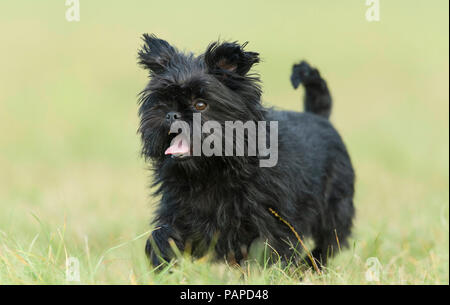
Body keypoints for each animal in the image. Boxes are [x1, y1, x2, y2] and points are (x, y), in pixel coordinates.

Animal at [137, 33, 356, 268]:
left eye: (200, 105)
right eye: (163, 101)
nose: (171, 114)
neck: (213, 170)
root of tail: (318, 116)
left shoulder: (271, 219)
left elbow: (269, 248)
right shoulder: (178, 209)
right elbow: (164, 234)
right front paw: (163, 259)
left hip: (336, 206)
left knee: (331, 240)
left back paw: (311, 264)